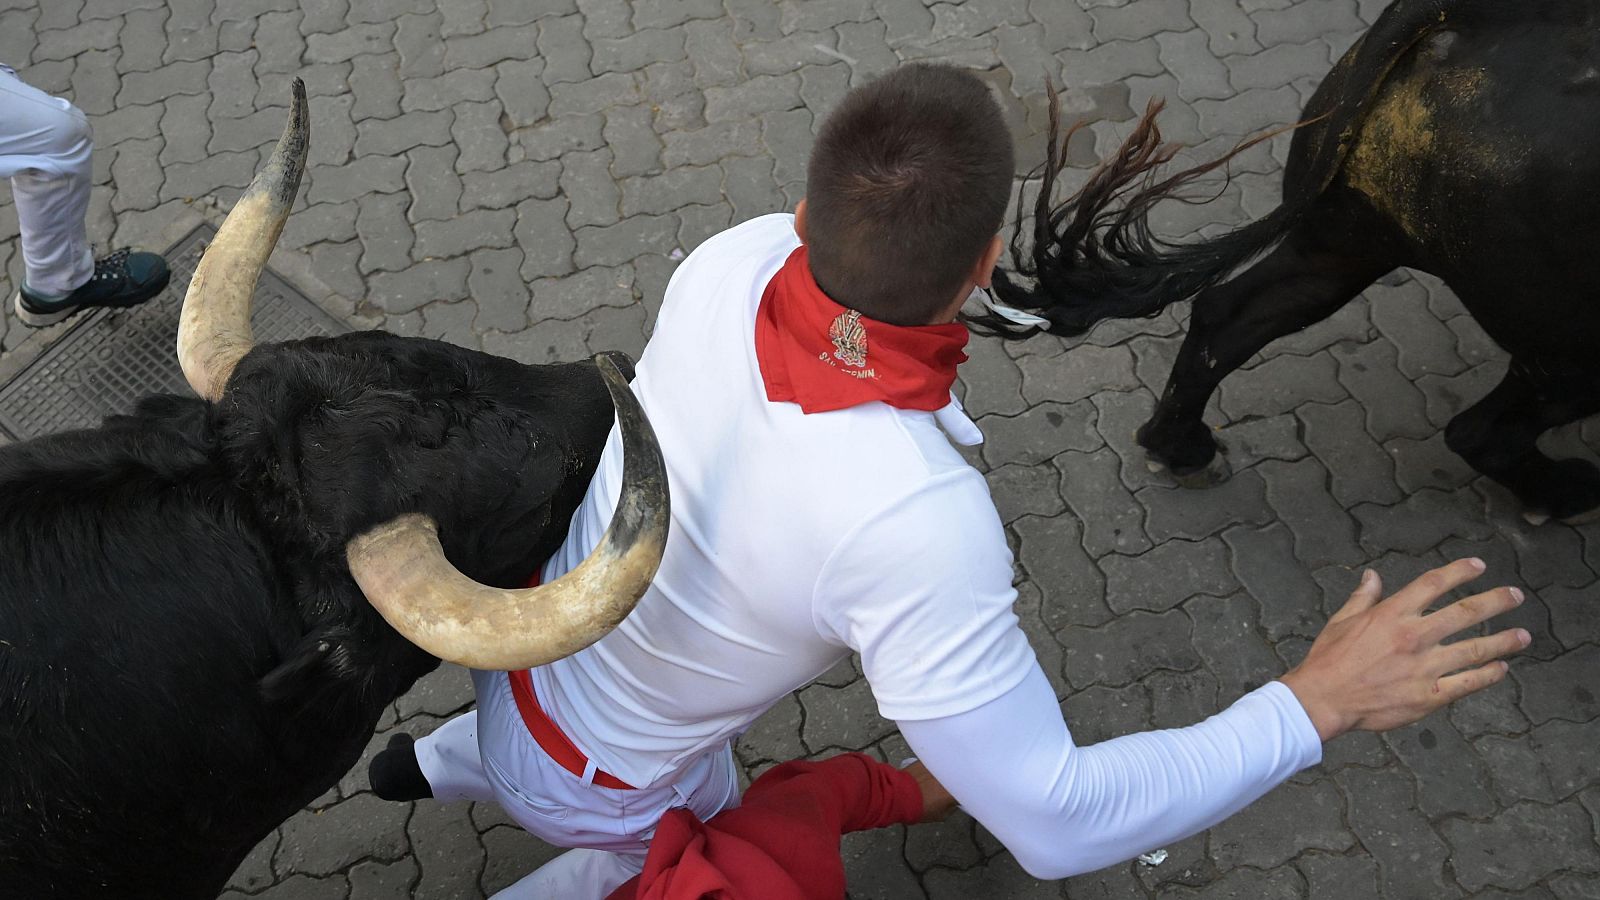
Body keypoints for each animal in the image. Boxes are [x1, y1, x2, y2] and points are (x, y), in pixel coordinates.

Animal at [972, 0, 1600, 522]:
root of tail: (1475, 17)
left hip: (1343, 240)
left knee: (1228, 317)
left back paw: (1182, 449)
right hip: (1565, 347)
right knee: (1484, 432)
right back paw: (1564, 493)